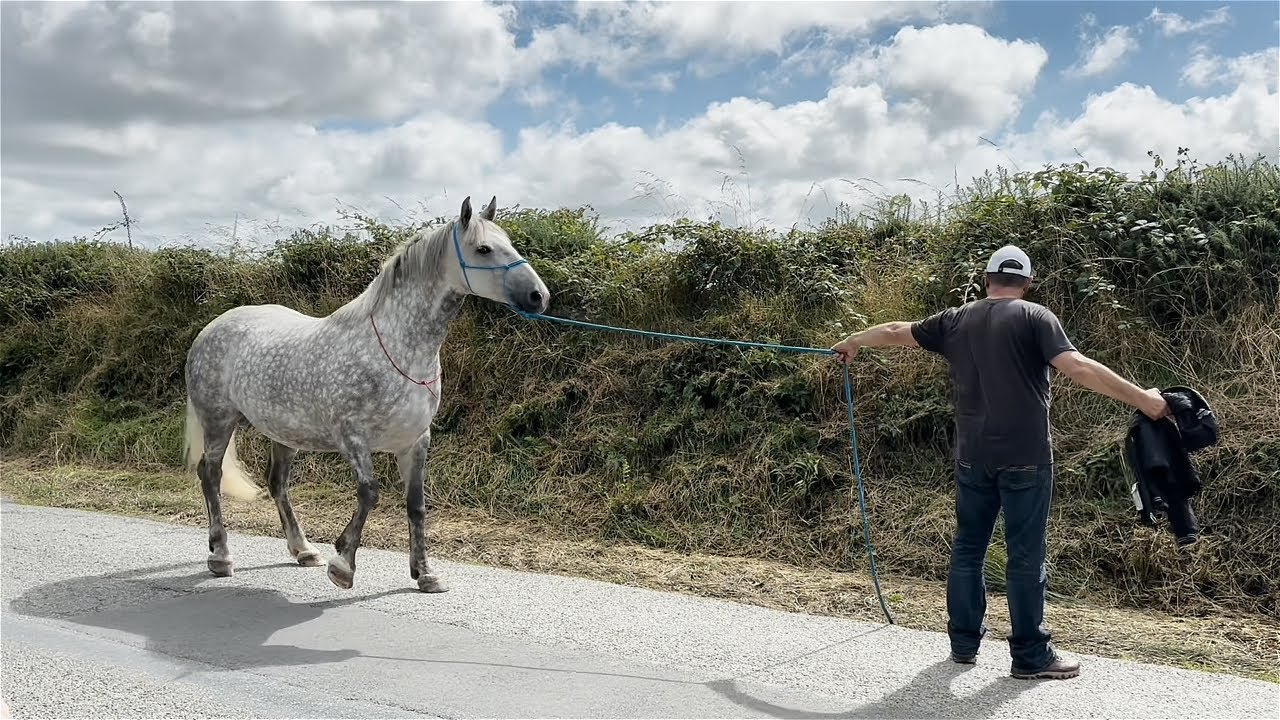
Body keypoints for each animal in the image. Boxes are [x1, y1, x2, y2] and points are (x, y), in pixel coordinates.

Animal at [182, 196, 550, 592]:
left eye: (508, 242)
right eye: (483, 248)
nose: (539, 296)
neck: (395, 347)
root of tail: (210, 329)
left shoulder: (415, 441)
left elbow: (416, 505)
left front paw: (425, 573)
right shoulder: (353, 438)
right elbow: (370, 493)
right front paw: (343, 564)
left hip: (285, 433)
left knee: (277, 483)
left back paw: (303, 550)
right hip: (219, 420)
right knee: (210, 474)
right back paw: (221, 556)